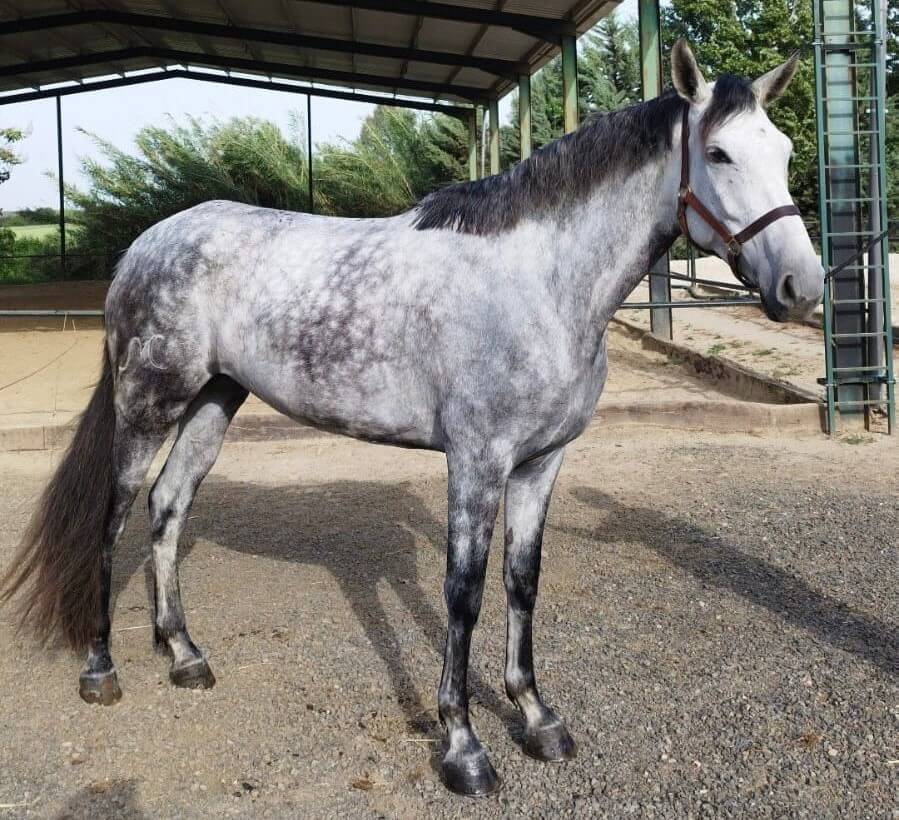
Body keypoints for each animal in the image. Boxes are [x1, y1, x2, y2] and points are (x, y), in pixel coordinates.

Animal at [1, 41, 822, 796]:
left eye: (782, 151)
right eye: (716, 153)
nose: (803, 286)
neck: (538, 284)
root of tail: (145, 245)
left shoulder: (540, 463)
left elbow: (522, 581)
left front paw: (537, 718)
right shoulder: (477, 459)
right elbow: (464, 592)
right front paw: (463, 748)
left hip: (214, 400)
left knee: (169, 508)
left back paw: (185, 657)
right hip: (150, 403)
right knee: (113, 518)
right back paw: (101, 669)